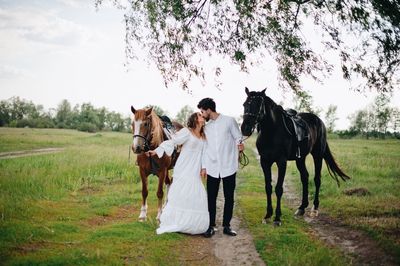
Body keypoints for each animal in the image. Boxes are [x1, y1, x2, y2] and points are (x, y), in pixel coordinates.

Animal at [241, 88, 350, 225]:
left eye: (258, 105)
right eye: (244, 104)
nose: (245, 128)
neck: (272, 131)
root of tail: (319, 121)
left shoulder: (281, 162)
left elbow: (279, 189)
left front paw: (277, 218)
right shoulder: (265, 161)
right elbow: (268, 187)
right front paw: (267, 215)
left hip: (317, 155)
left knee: (317, 179)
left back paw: (314, 209)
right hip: (300, 159)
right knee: (305, 177)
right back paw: (301, 208)